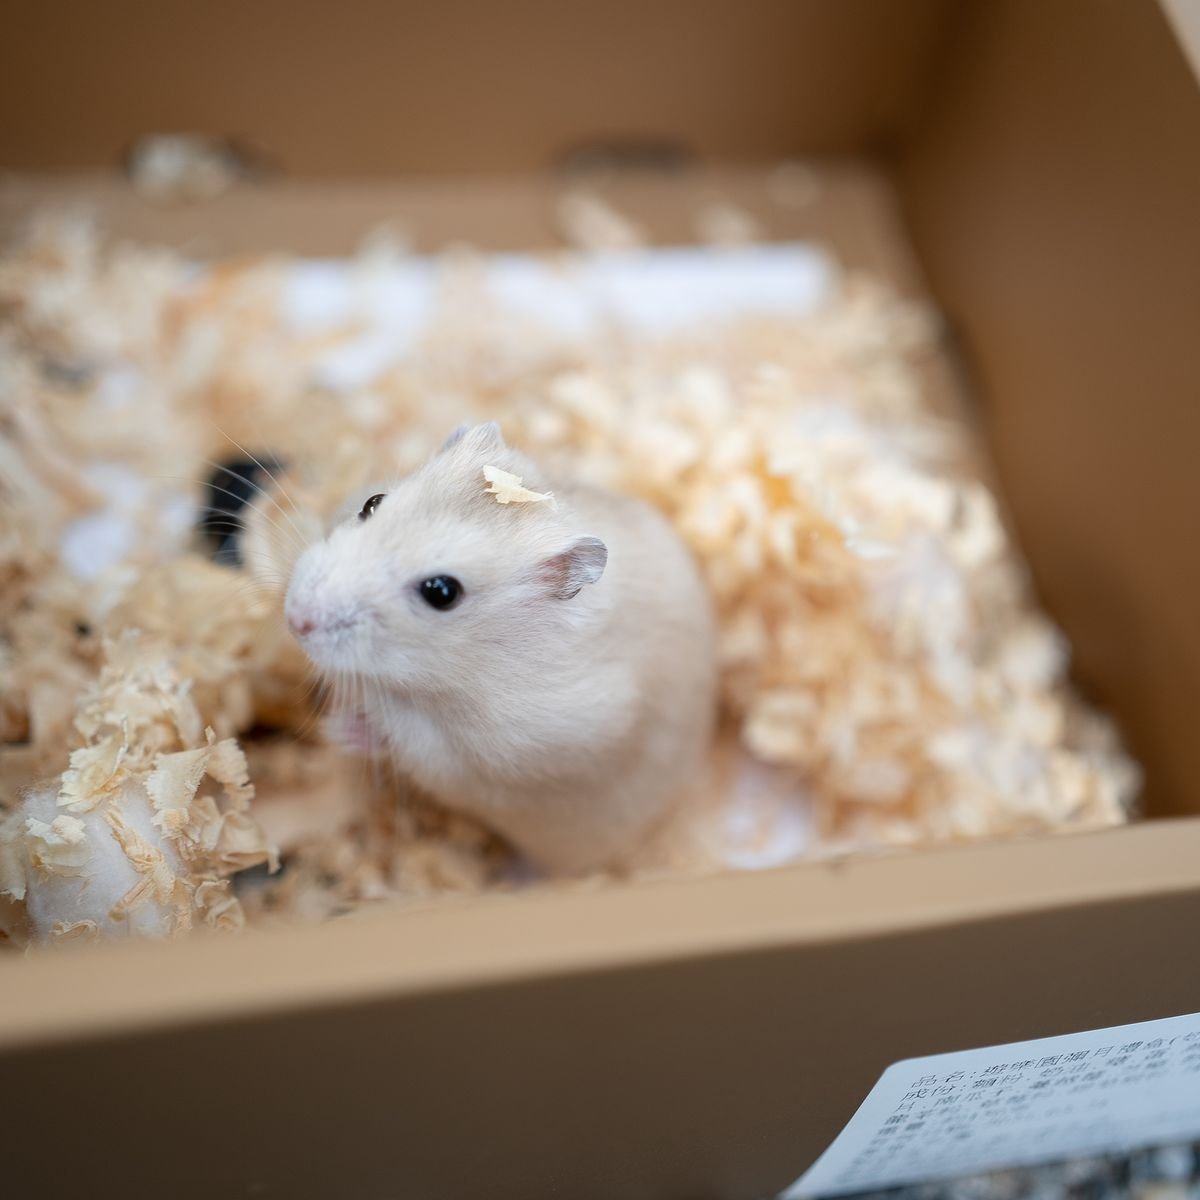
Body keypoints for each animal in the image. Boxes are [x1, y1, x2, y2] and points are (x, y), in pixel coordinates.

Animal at [284, 422, 717, 874]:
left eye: (441, 592)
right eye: (372, 503)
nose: (295, 619)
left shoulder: (493, 752)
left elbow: (407, 742)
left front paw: (338, 730)